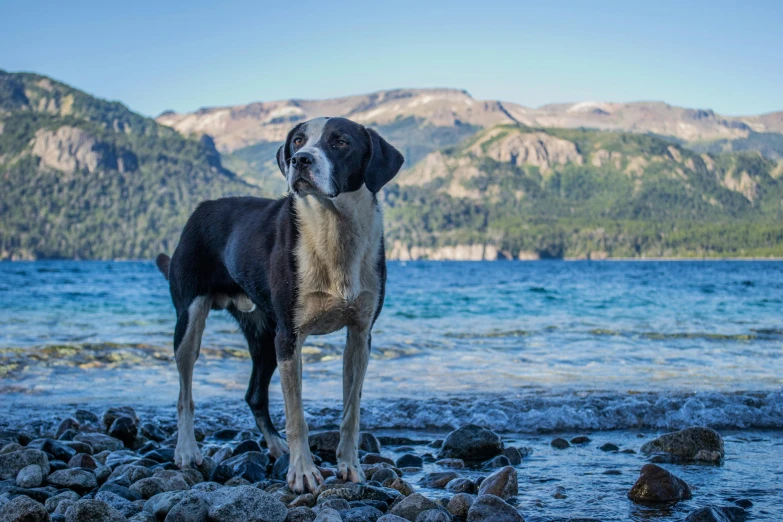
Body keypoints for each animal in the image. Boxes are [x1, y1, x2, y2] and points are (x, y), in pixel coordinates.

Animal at [157, 117, 408, 492]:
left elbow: (351, 412)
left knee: (254, 394)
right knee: (184, 393)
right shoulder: (290, 337)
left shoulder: (360, 335)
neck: (333, 228)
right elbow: (297, 415)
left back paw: (275, 445)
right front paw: (303, 472)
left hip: (264, 334)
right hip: (191, 321)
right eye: (299, 141)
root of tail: (203, 207)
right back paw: (187, 450)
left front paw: (350, 466)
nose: (300, 160)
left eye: (341, 142)